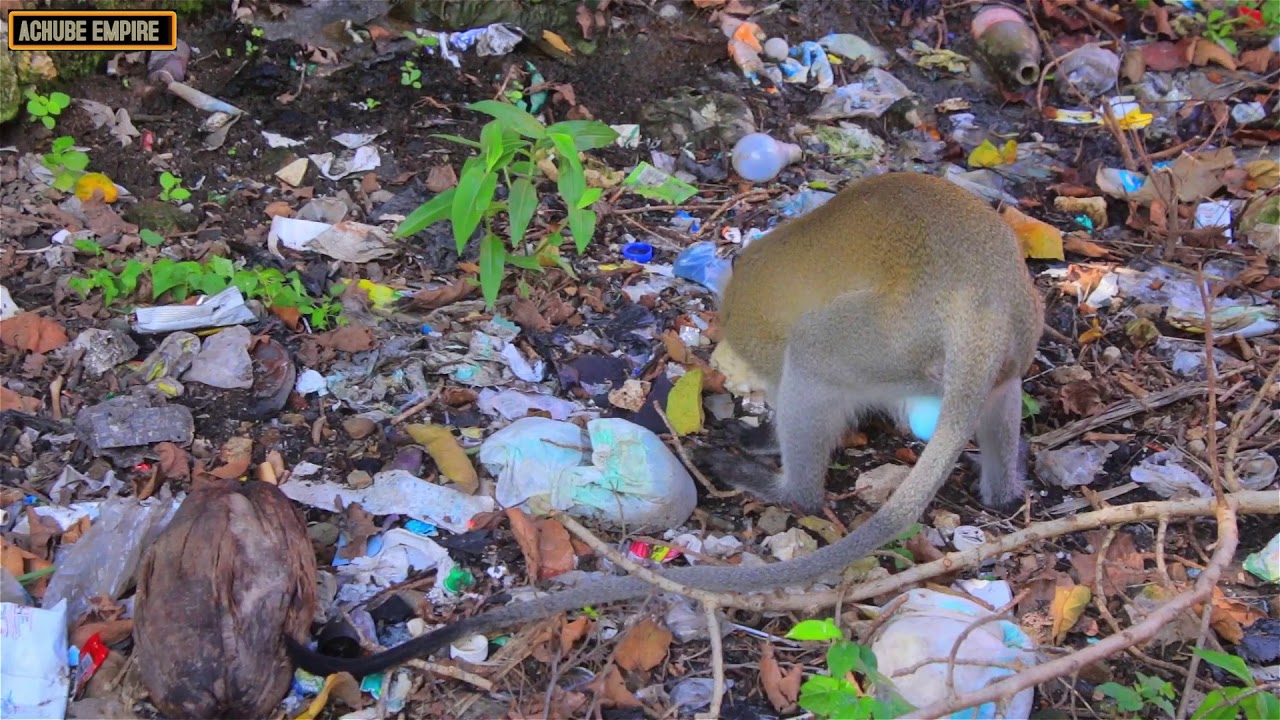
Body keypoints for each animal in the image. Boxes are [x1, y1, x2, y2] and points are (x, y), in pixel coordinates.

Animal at [286, 171, 1045, 677]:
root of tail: (978, 309)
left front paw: (761, 428)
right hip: (1008, 344)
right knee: (1002, 398)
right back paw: (1003, 489)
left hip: (877, 341)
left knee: (812, 361)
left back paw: (778, 483)